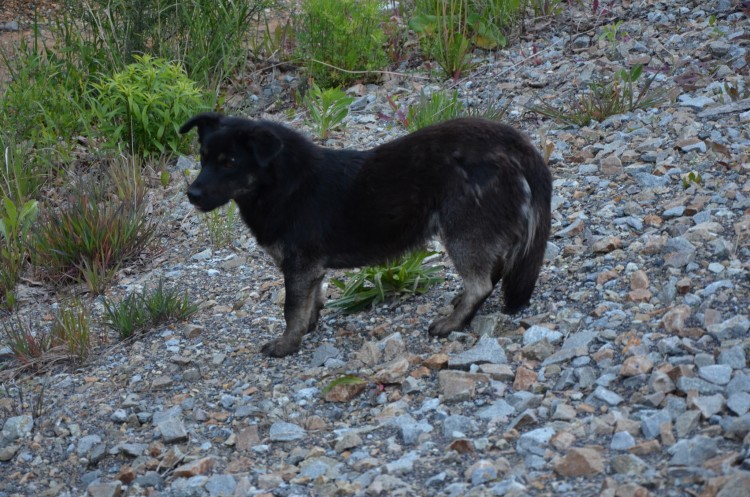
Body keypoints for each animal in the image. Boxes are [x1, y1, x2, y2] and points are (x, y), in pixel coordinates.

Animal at [178, 113, 548, 356]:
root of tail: (516, 144)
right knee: (493, 269)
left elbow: (290, 308)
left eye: (229, 161)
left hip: (460, 231)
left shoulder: (299, 265)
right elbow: (311, 300)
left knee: (481, 283)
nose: (192, 195)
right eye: (203, 158)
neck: (284, 184)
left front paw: (286, 344)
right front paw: (308, 325)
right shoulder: (311, 269)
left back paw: (452, 323)